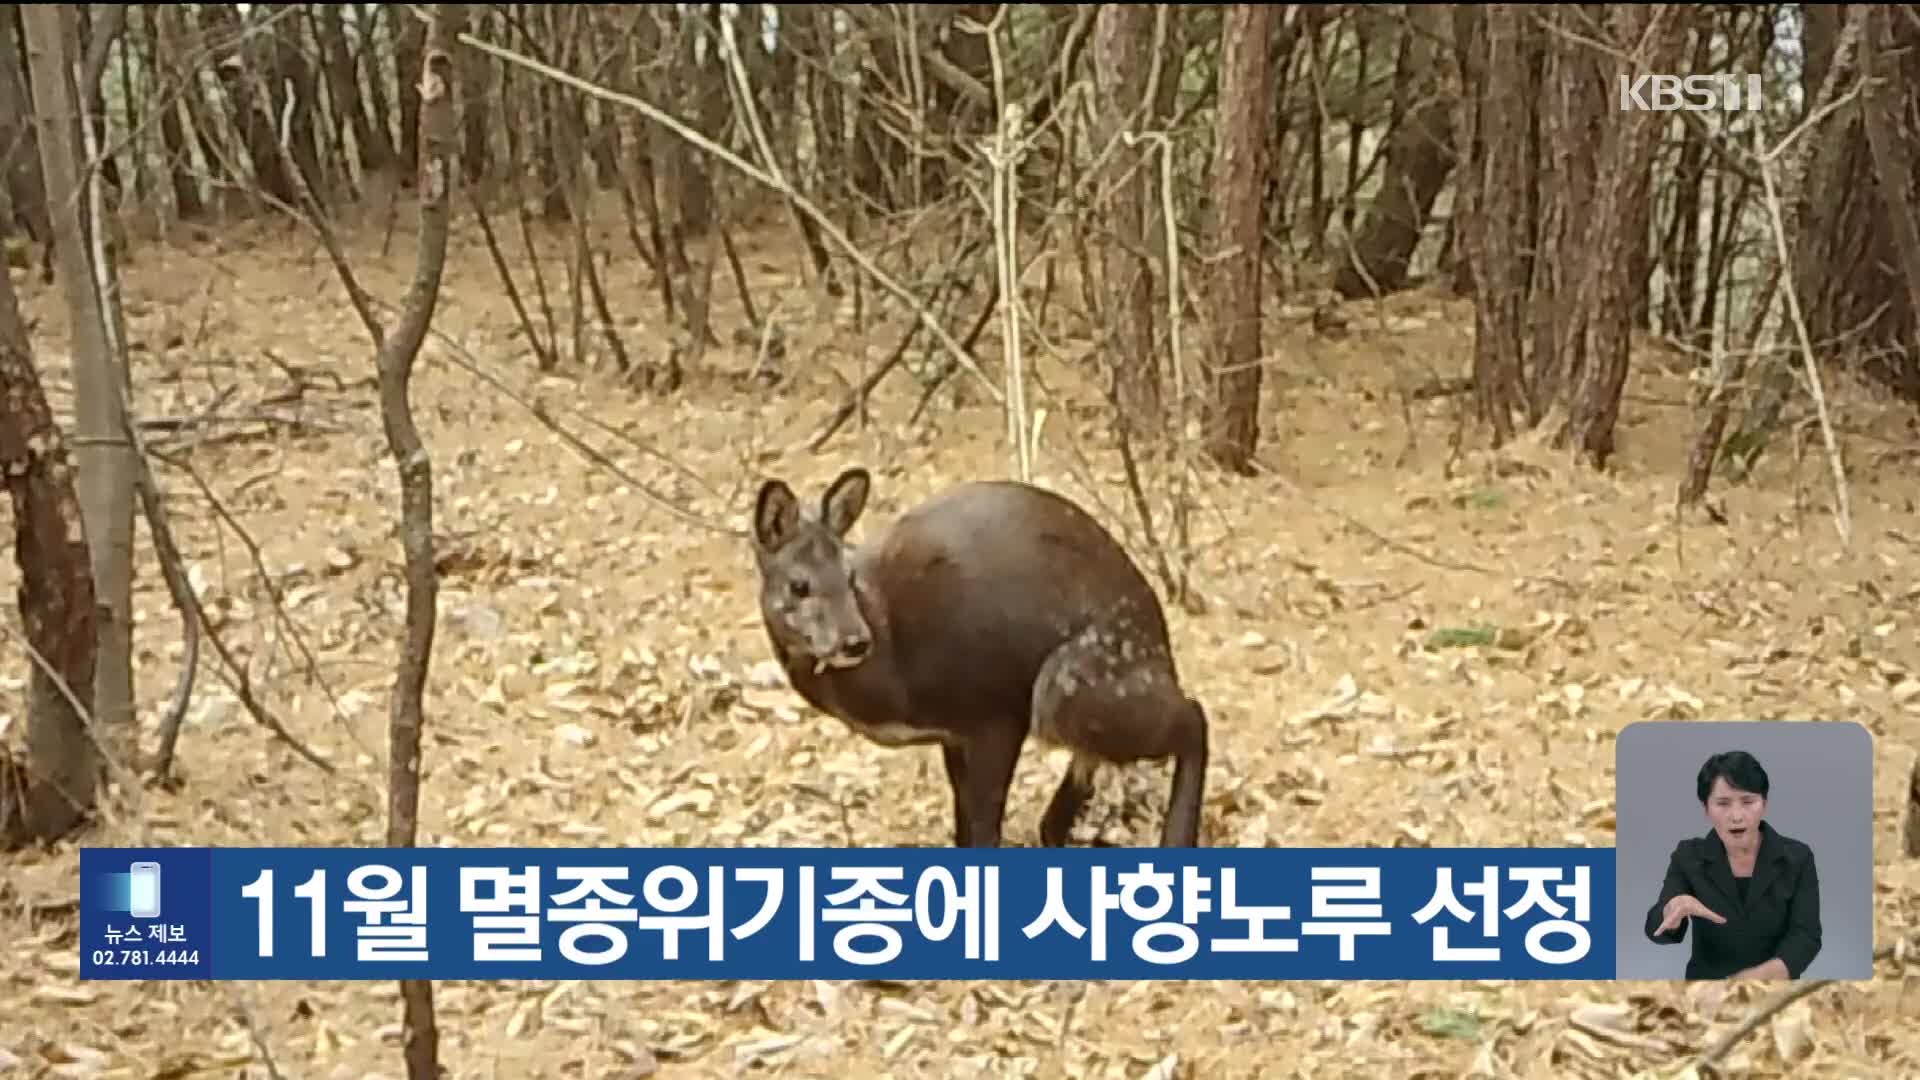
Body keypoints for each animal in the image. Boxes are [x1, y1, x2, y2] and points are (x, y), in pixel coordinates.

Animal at [744, 466, 1205, 845]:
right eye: (798, 585)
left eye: (850, 575)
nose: (855, 641)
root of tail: (1162, 648)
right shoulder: (954, 735)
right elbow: (965, 829)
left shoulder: (994, 714)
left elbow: (984, 831)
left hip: (1068, 684)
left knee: (1193, 715)